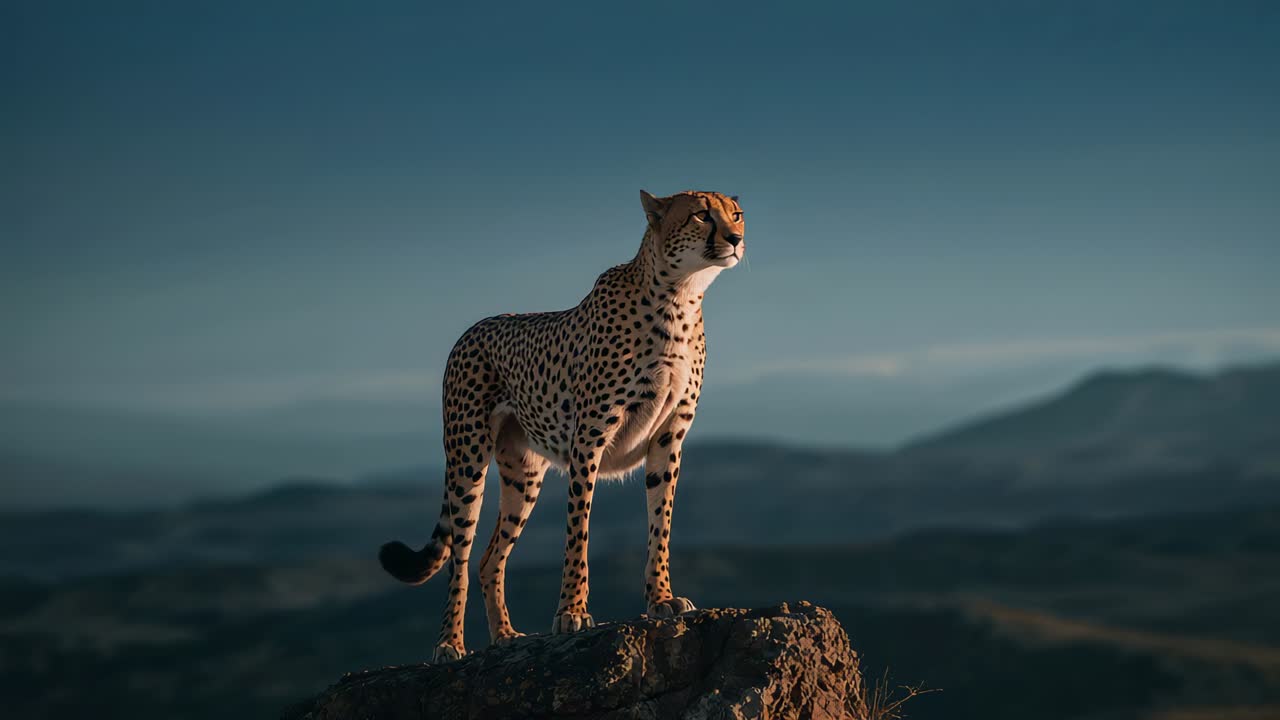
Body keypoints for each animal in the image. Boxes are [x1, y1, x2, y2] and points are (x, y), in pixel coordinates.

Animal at [379, 189, 745, 661]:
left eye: (736, 214)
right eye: (702, 215)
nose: (736, 239)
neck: (680, 297)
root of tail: (473, 328)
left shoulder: (668, 439)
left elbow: (659, 525)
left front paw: (661, 598)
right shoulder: (588, 438)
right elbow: (578, 532)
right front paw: (572, 611)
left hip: (524, 474)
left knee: (489, 558)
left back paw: (506, 636)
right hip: (467, 461)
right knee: (460, 556)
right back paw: (450, 643)